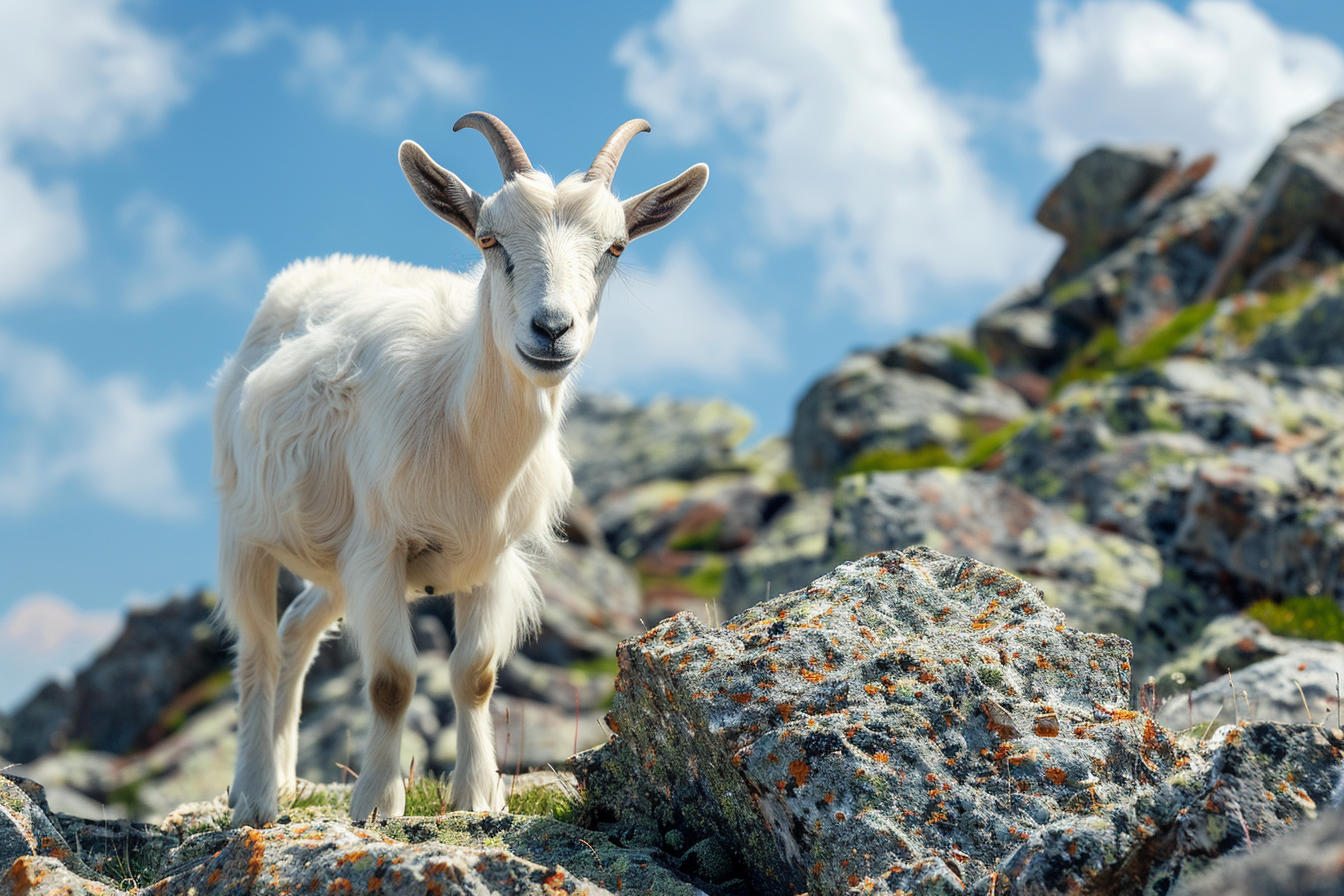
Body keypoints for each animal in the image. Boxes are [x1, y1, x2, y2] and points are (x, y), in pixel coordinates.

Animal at [213, 112, 707, 825]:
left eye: (615, 248)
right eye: (489, 239)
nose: (551, 329)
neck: (459, 421)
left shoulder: (490, 558)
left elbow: (476, 674)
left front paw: (476, 795)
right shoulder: (380, 547)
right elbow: (392, 680)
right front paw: (376, 804)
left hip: (334, 558)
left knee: (295, 629)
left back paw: (285, 777)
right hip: (246, 527)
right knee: (257, 648)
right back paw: (253, 797)